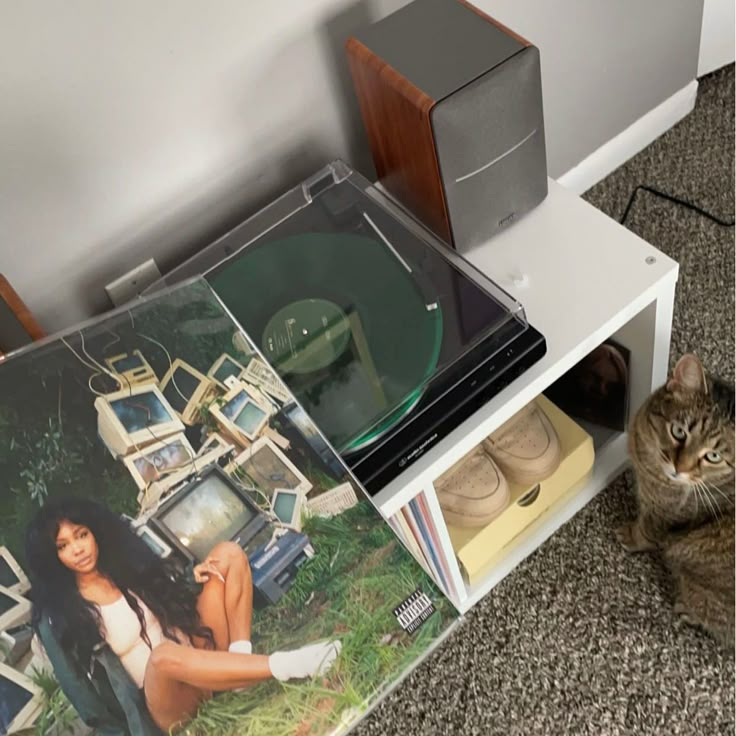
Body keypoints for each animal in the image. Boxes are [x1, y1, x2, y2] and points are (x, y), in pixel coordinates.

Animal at [620, 354, 732, 648]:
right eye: (679, 432)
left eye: (713, 456)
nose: (680, 468)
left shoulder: (663, 516)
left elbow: (646, 531)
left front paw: (630, 535)